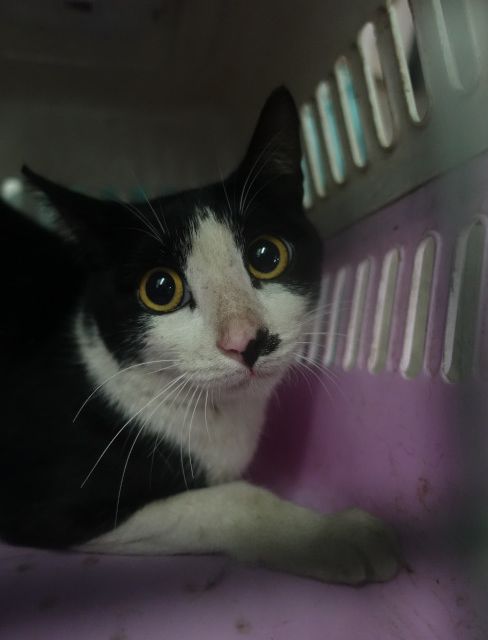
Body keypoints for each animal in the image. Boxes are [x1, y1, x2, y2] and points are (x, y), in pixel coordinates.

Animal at [0, 87, 400, 584]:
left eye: (267, 256)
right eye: (160, 289)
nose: (246, 340)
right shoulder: (46, 500)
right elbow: (233, 497)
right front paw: (332, 536)